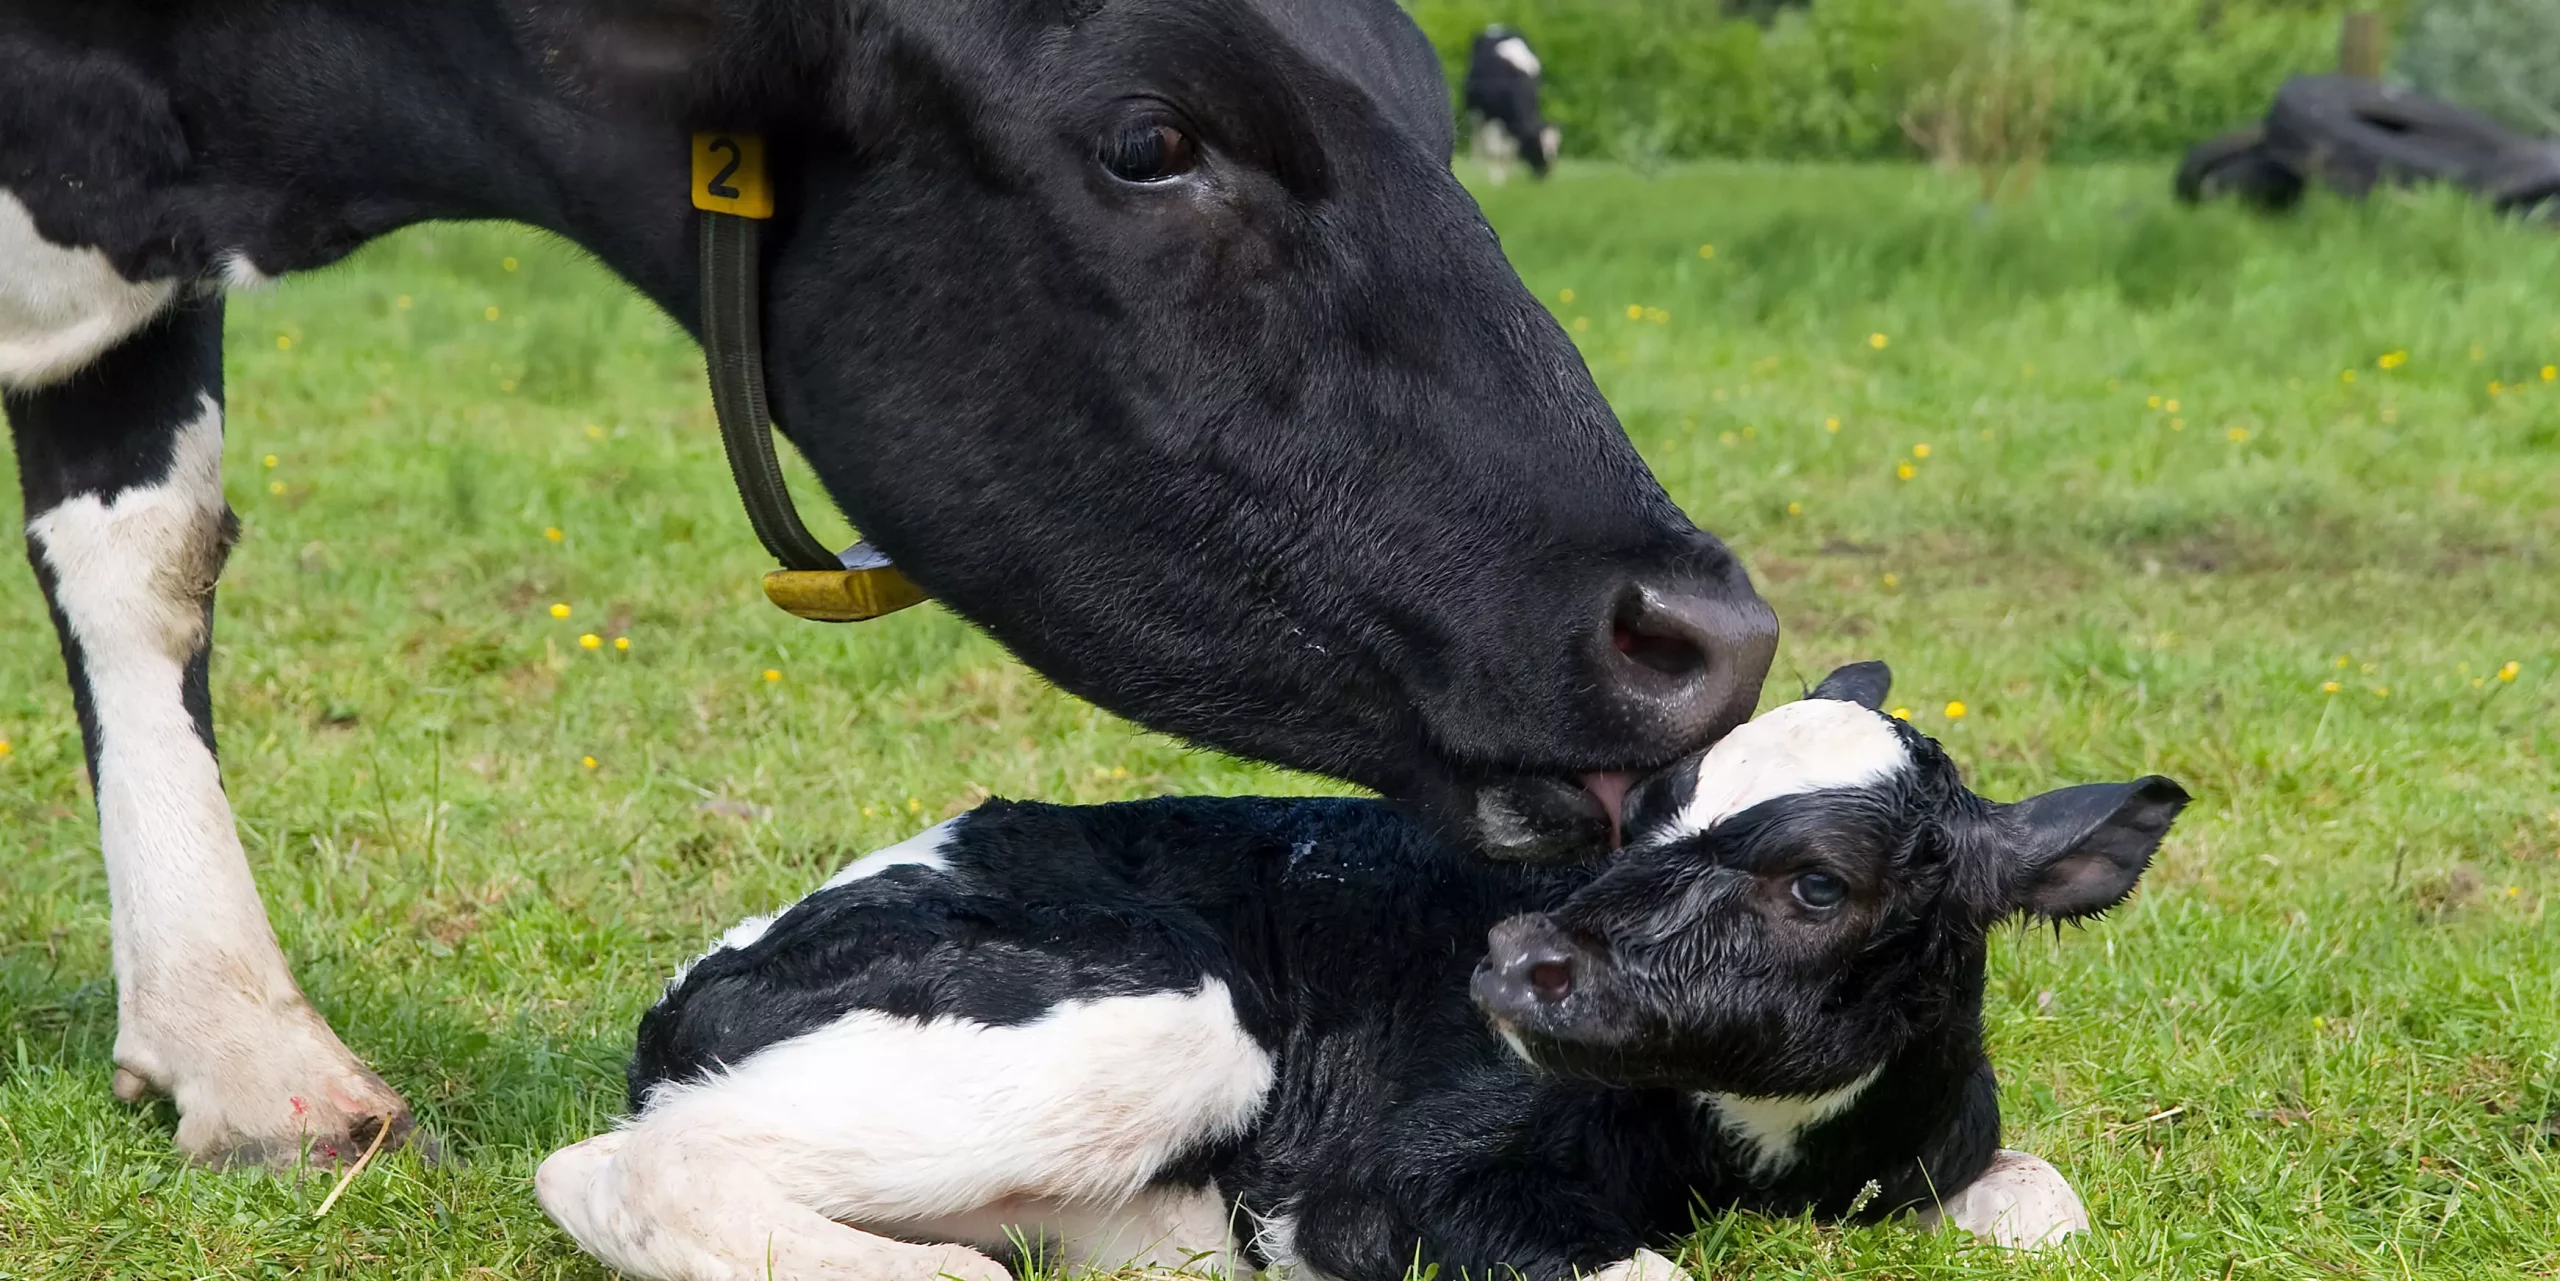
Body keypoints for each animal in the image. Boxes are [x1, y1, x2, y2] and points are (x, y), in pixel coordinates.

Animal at [535, 666, 2181, 1281]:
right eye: (1643, 811)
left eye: (1816, 885)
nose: (1519, 959)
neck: (1756, 1161)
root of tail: (695, 984)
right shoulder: (1376, 1193)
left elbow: (2050, 1204)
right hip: (1168, 1019)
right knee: (615, 1167)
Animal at [1464, 25, 1556, 180]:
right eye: (1536, 147)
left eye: (1554, 150)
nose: (1544, 174)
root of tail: (1497, 26)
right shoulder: (1491, 116)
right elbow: (1494, 149)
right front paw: (1496, 176)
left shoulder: (1512, 124)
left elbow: (1510, 147)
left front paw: (1508, 173)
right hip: (1476, 112)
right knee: (1477, 135)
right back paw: (1476, 164)